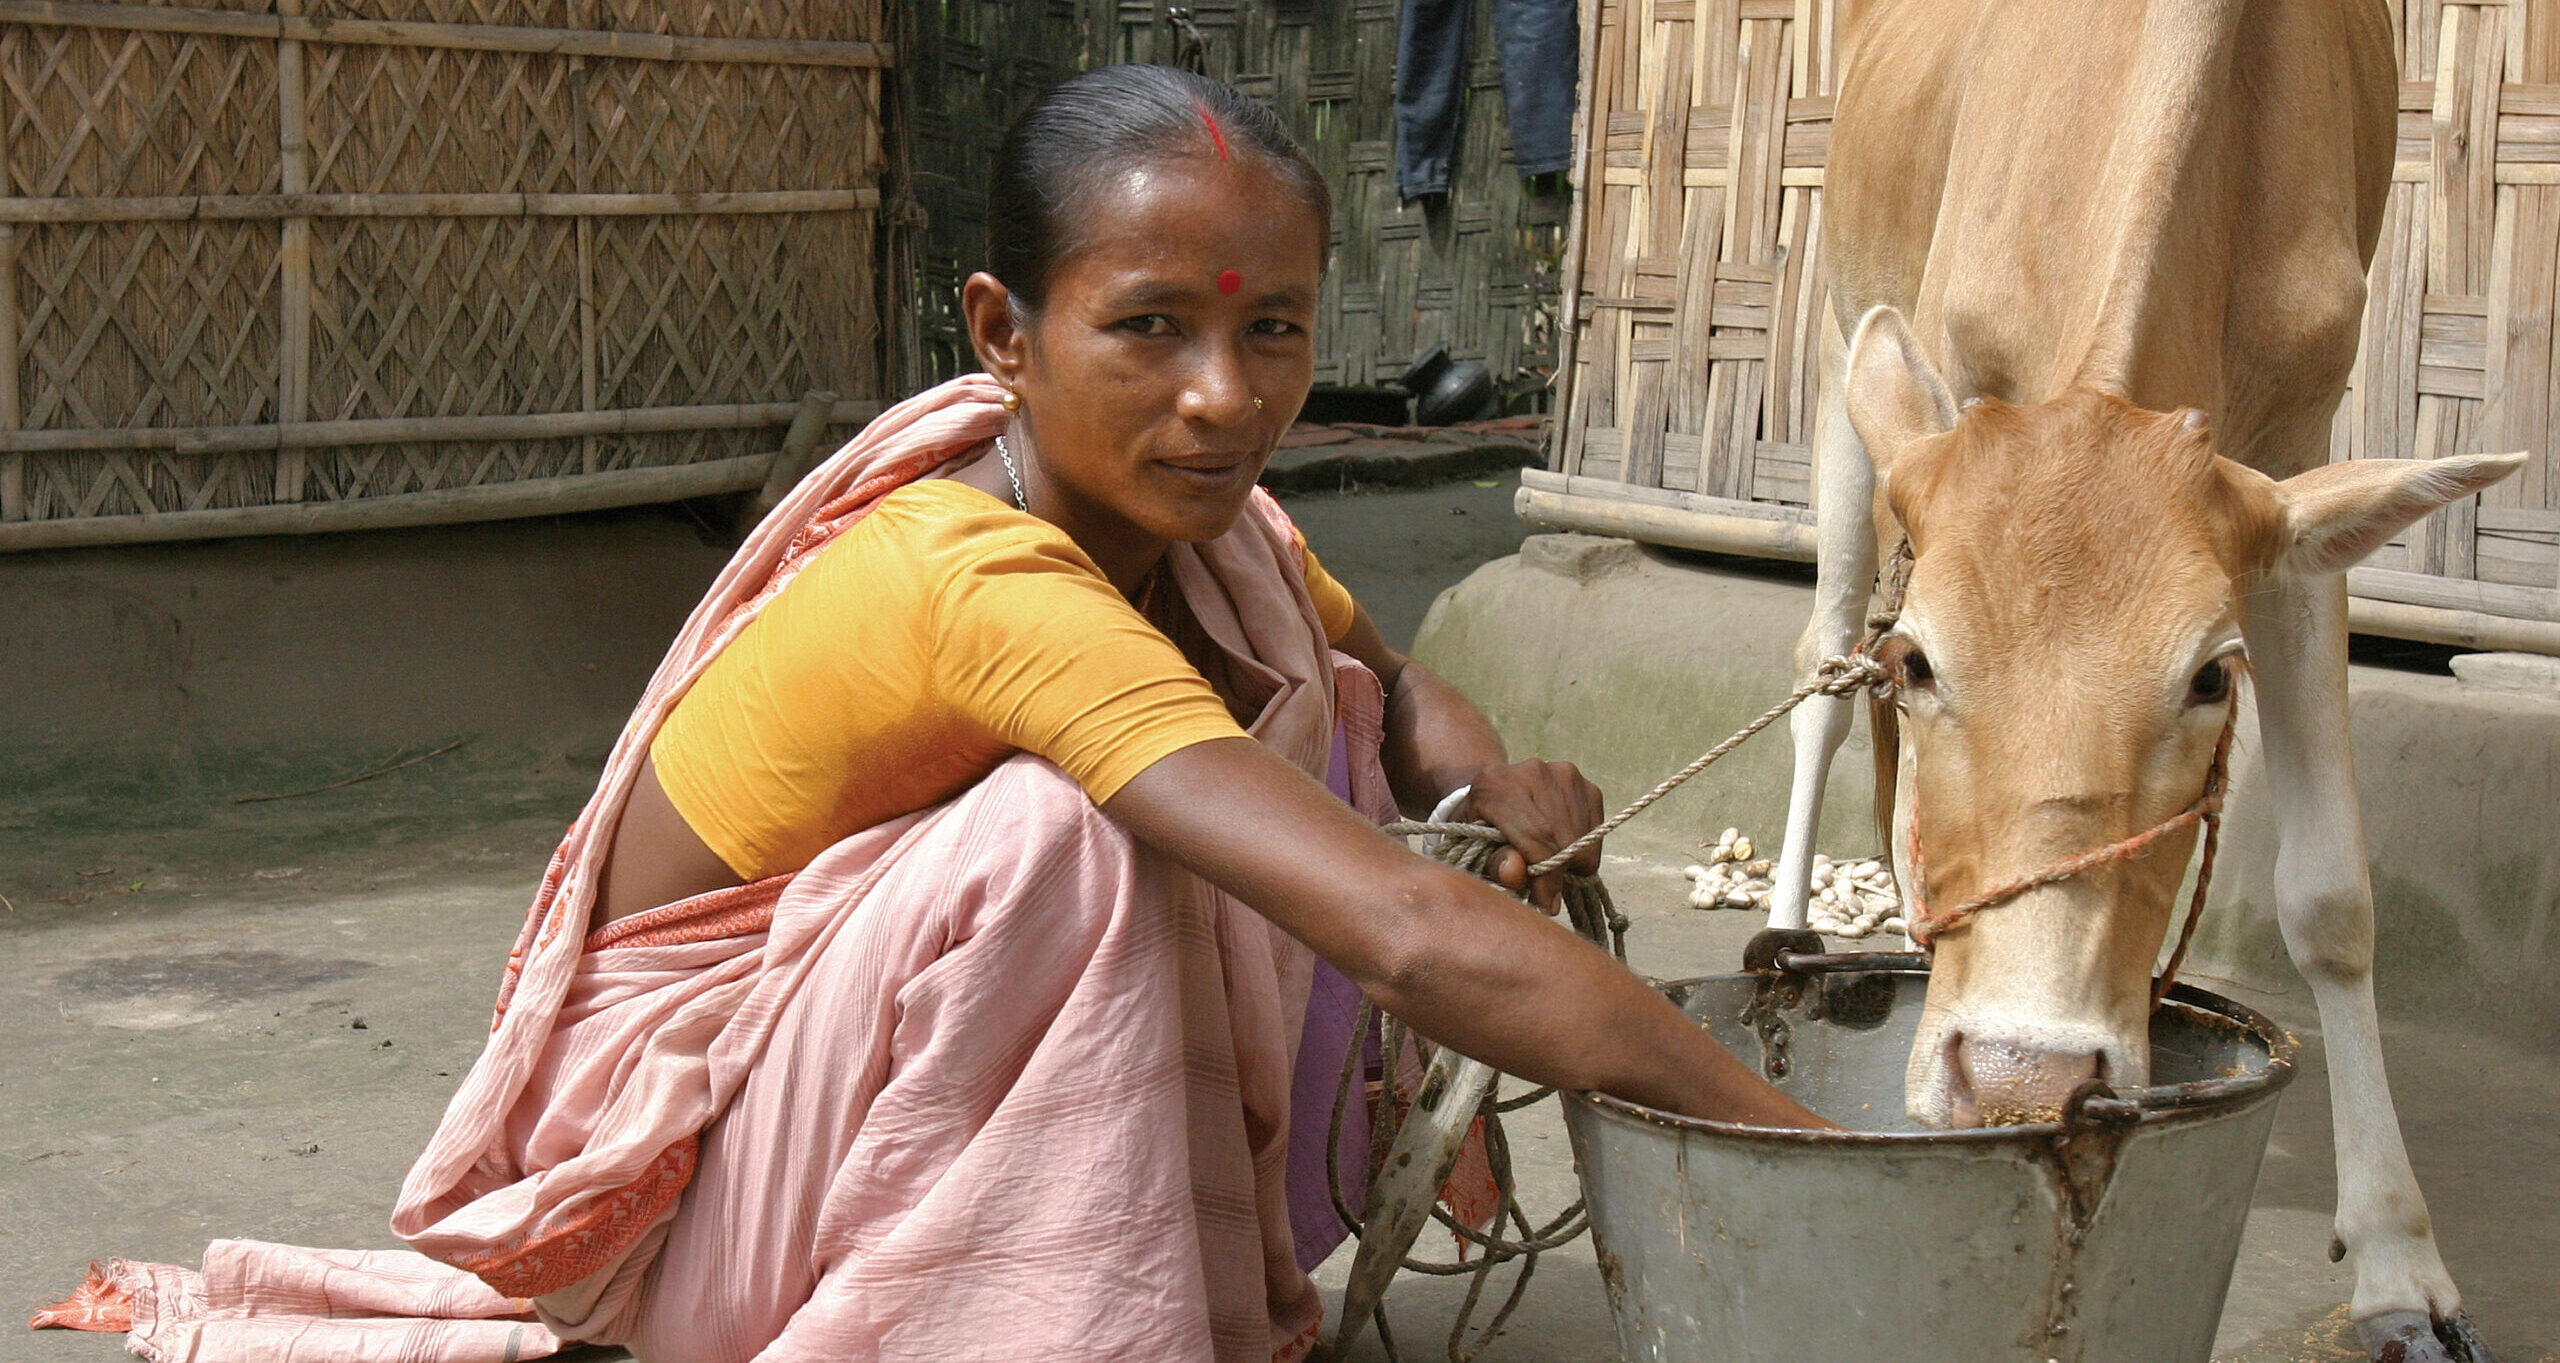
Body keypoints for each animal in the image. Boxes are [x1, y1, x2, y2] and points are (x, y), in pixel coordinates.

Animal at [1771, 5, 2529, 1352]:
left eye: (2213, 681)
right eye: (1920, 660)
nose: (2022, 1077)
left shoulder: (2295, 461)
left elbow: (2331, 898)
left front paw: (2398, 1262)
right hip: (1843, 344)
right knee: (1817, 662)